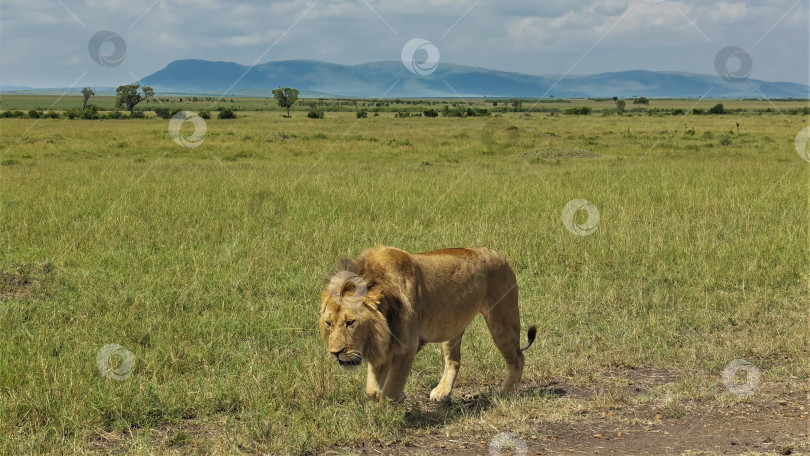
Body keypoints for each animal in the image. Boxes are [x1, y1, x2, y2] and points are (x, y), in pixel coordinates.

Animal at [318, 246, 536, 402]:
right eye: (329, 323)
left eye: (350, 323)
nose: (335, 353)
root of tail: (499, 254)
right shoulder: (384, 344)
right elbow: (372, 389)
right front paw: (392, 396)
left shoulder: (406, 347)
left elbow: (390, 389)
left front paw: (385, 414)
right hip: (452, 326)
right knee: (454, 360)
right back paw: (442, 392)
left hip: (502, 320)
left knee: (518, 357)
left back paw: (506, 392)